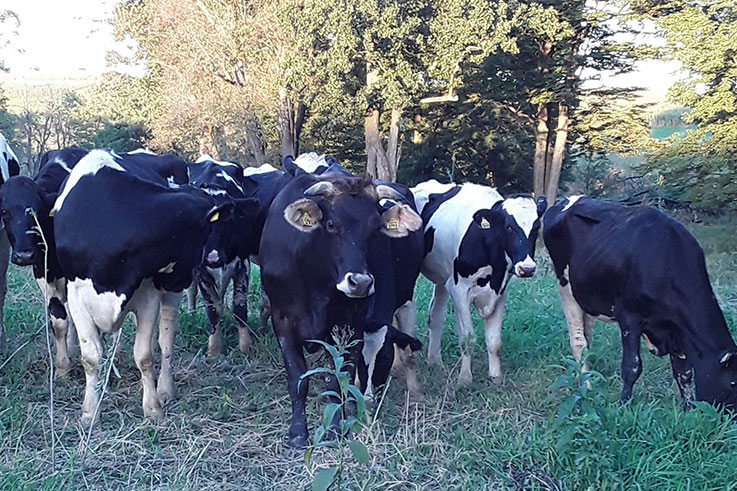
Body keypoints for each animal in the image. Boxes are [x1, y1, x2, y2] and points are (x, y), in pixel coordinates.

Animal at [0, 146, 89, 374]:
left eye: (36, 211)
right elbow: (58, 321)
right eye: (4, 212)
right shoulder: (42, 272)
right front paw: (62, 368)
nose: (23, 255)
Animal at [52, 149, 253, 425]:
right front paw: (90, 412)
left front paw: (152, 407)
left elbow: (145, 355)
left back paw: (164, 388)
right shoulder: (77, 296)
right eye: (204, 232)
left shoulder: (148, 294)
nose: (211, 260)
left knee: (166, 341)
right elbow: (91, 358)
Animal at [259, 172, 422, 447]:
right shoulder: (282, 320)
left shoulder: (348, 326)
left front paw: (336, 430)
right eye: (331, 225)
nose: (361, 282)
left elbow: (337, 381)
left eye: (375, 229)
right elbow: (298, 380)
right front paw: (297, 434)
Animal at [413, 181, 546, 387]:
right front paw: (465, 378)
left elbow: (494, 341)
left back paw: (435, 362)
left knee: (436, 316)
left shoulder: (500, 292)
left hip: (443, 279)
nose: (527, 268)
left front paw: (496, 377)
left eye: (536, 226)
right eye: (508, 227)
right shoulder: (460, 290)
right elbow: (467, 338)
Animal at [543, 196, 737, 410]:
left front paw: (688, 409)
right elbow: (632, 366)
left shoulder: (677, 329)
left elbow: (683, 372)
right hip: (566, 288)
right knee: (579, 341)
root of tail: (566, 201)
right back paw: (586, 387)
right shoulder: (629, 317)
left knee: (587, 338)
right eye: (733, 383)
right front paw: (623, 405)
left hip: (588, 295)